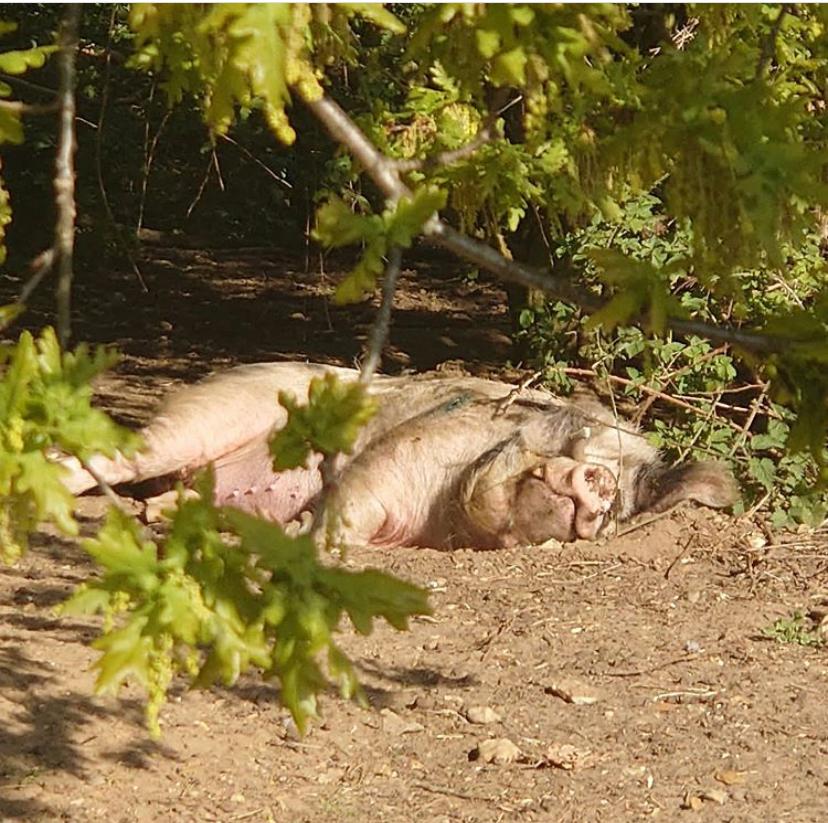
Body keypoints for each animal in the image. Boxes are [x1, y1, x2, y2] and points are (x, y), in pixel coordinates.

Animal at [60, 362, 737, 548]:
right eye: (580, 439)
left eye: (625, 506)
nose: (599, 483)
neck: (444, 519)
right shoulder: (399, 453)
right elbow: (349, 504)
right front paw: (306, 534)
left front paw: (295, 529)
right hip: (203, 417)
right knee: (106, 457)